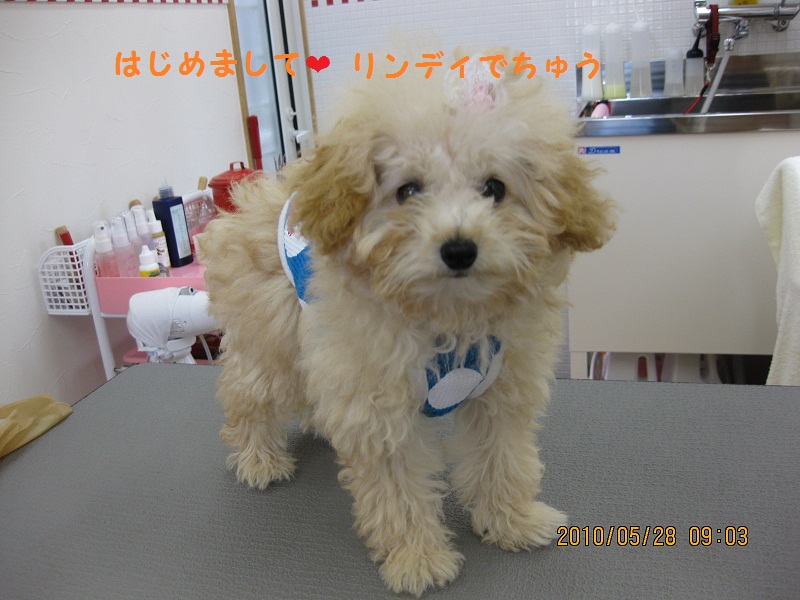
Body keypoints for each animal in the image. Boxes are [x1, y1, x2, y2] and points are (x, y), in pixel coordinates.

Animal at [199, 54, 615, 596]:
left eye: (494, 188)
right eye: (408, 190)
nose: (459, 248)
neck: (447, 315)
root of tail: (262, 194)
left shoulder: (501, 392)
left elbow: (503, 459)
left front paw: (514, 521)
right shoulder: (380, 408)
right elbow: (399, 492)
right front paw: (417, 558)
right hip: (274, 338)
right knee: (245, 393)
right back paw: (258, 459)